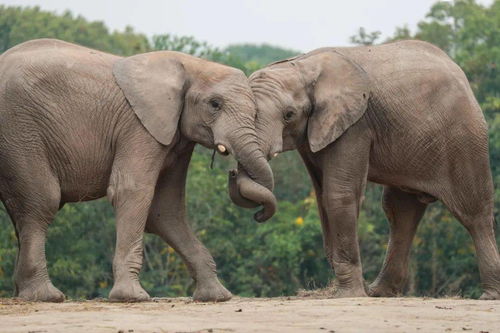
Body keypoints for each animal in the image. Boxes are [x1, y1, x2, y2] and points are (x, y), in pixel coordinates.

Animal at [0, 38, 278, 300]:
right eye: (215, 104)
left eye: (255, 112)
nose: (233, 172)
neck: (191, 65)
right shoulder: (140, 127)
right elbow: (131, 191)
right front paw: (131, 297)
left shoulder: (175, 136)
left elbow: (166, 209)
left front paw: (217, 297)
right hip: (20, 131)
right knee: (43, 202)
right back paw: (47, 296)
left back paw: (25, 294)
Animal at [230, 40, 500, 300]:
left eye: (289, 115)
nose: (232, 173)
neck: (302, 66)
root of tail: (461, 74)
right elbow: (322, 197)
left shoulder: (355, 125)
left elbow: (339, 194)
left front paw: (347, 294)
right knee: (400, 211)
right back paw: (379, 292)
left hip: (463, 136)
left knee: (472, 210)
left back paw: (489, 295)